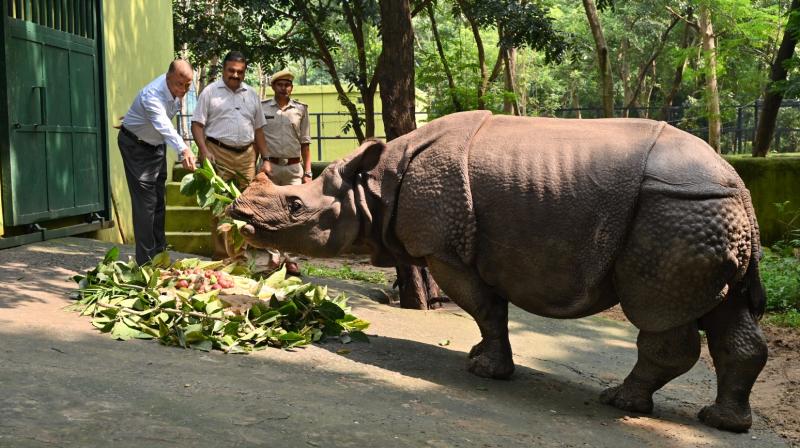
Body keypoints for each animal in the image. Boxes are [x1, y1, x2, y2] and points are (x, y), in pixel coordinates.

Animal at [229, 111, 767, 432]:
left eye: (295, 206)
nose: (239, 215)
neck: (373, 187)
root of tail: (740, 186)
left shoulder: (447, 249)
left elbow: (486, 309)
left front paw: (484, 370)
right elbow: (488, 311)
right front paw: (481, 360)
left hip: (675, 212)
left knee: (659, 315)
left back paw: (619, 403)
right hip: (705, 213)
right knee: (726, 312)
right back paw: (723, 422)